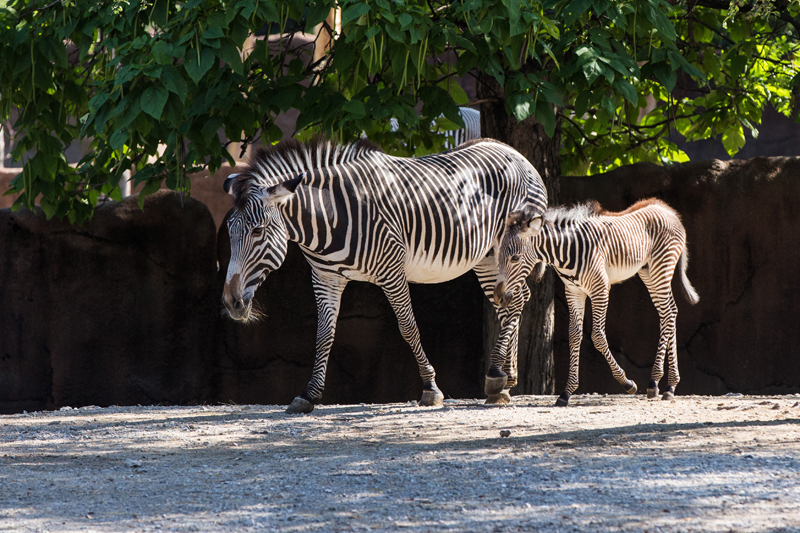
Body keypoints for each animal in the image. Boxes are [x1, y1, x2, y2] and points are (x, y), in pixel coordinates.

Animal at [225, 135, 552, 414]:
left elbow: (408, 327)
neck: (331, 217)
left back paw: (496, 376)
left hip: (509, 249)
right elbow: (323, 335)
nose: (231, 303)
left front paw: (430, 389)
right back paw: (505, 381)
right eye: (229, 230)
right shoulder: (325, 278)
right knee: (511, 301)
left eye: (257, 231)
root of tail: (514, 152)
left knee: (516, 300)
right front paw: (309, 394)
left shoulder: (392, 271)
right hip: (488, 258)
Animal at [494, 198, 700, 404]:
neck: (568, 251)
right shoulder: (574, 291)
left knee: (667, 313)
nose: (498, 296)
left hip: (661, 268)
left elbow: (598, 336)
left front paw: (627, 383)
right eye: (498, 256)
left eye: (515, 258)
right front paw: (566, 392)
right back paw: (667, 386)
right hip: (648, 272)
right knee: (670, 312)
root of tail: (667, 210)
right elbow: (574, 335)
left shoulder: (600, 289)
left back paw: (658, 383)